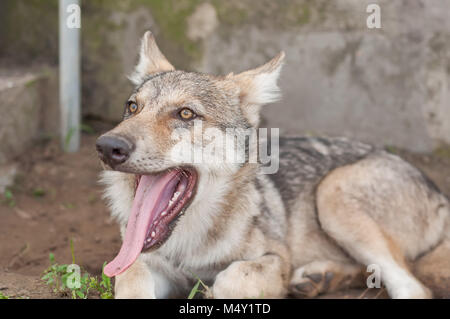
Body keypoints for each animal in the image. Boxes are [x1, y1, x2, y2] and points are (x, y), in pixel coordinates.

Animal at [96, 31, 450, 298]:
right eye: (132, 107)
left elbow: (232, 279)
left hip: (333, 193)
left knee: (413, 287)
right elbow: (132, 280)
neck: (189, 246)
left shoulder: (276, 257)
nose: (108, 146)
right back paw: (321, 278)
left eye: (185, 113)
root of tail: (439, 194)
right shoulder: (139, 261)